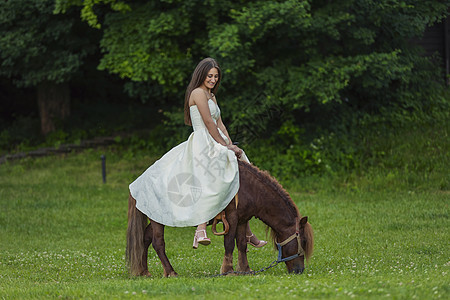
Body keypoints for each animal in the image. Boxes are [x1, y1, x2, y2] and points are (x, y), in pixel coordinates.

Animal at [125, 161, 312, 278]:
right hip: (158, 220)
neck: (250, 189)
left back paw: (144, 271)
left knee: (145, 238)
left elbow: (242, 244)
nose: (299, 270)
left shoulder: (243, 219)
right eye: (302, 240)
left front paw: (245, 269)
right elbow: (229, 243)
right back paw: (171, 272)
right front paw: (227, 270)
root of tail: (140, 181)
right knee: (158, 243)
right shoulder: (232, 218)